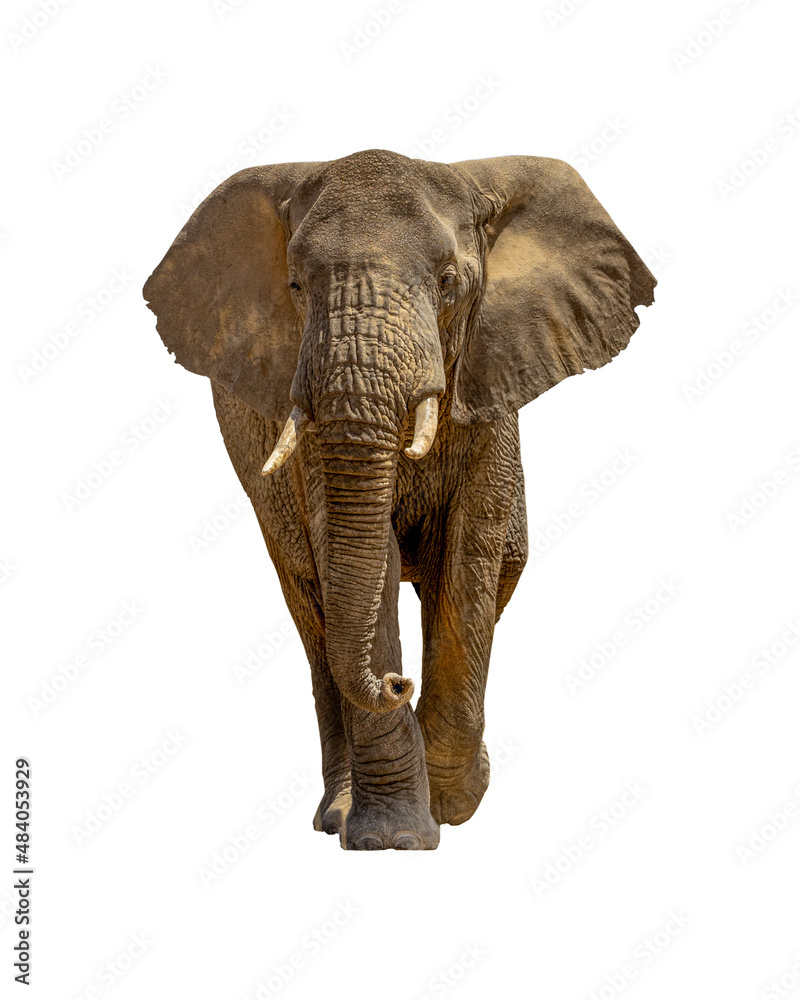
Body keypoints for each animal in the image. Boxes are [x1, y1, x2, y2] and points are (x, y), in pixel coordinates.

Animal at [143, 149, 655, 850]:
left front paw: (456, 802)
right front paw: (393, 840)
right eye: (295, 287)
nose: (395, 683)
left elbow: (471, 553)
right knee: (313, 611)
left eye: (447, 282)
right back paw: (337, 814)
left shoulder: (488, 379)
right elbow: (361, 557)